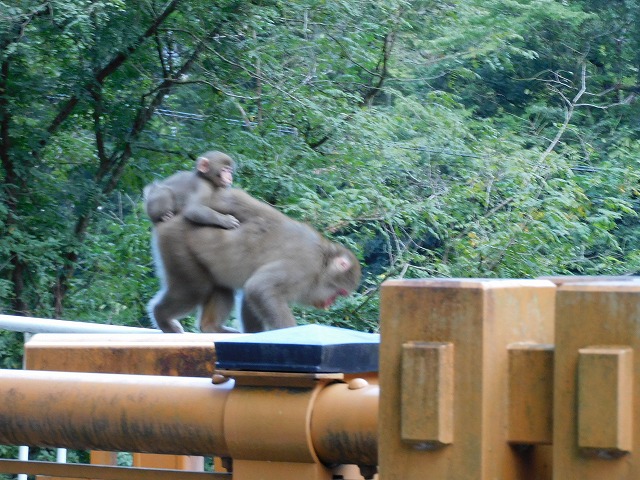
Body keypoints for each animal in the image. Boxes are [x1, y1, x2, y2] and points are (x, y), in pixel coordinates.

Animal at [147, 188, 362, 334]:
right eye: (340, 293)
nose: (329, 303)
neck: (322, 264)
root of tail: (168, 220)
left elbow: (251, 294)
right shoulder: (303, 267)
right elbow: (260, 288)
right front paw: (289, 333)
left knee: (221, 287)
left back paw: (211, 327)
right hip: (176, 245)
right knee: (195, 289)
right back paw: (162, 317)